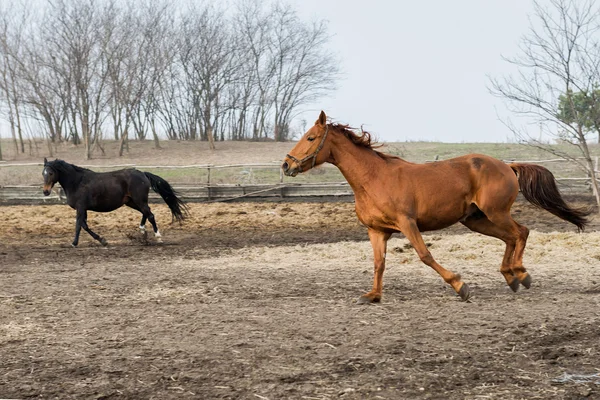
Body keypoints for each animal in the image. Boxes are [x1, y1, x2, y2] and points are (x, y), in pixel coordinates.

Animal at [43, 157, 188, 245]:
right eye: (42, 173)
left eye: (50, 173)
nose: (45, 191)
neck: (77, 182)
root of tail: (143, 173)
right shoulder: (83, 209)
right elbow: (84, 225)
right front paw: (102, 240)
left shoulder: (81, 207)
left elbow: (79, 225)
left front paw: (74, 243)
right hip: (131, 202)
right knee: (146, 213)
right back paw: (142, 230)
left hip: (139, 200)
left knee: (150, 214)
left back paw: (158, 237)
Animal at [282, 111, 592, 304]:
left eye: (310, 138)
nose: (286, 165)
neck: (373, 178)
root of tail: (508, 165)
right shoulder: (377, 231)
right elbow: (379, 263)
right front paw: (372, 296)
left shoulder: (407, 224)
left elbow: (425, 256)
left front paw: (460, 286)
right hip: (476, 220)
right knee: (511, 237)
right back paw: (511, 277)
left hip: (496, 213)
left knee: (521, 232)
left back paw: (521, 274)